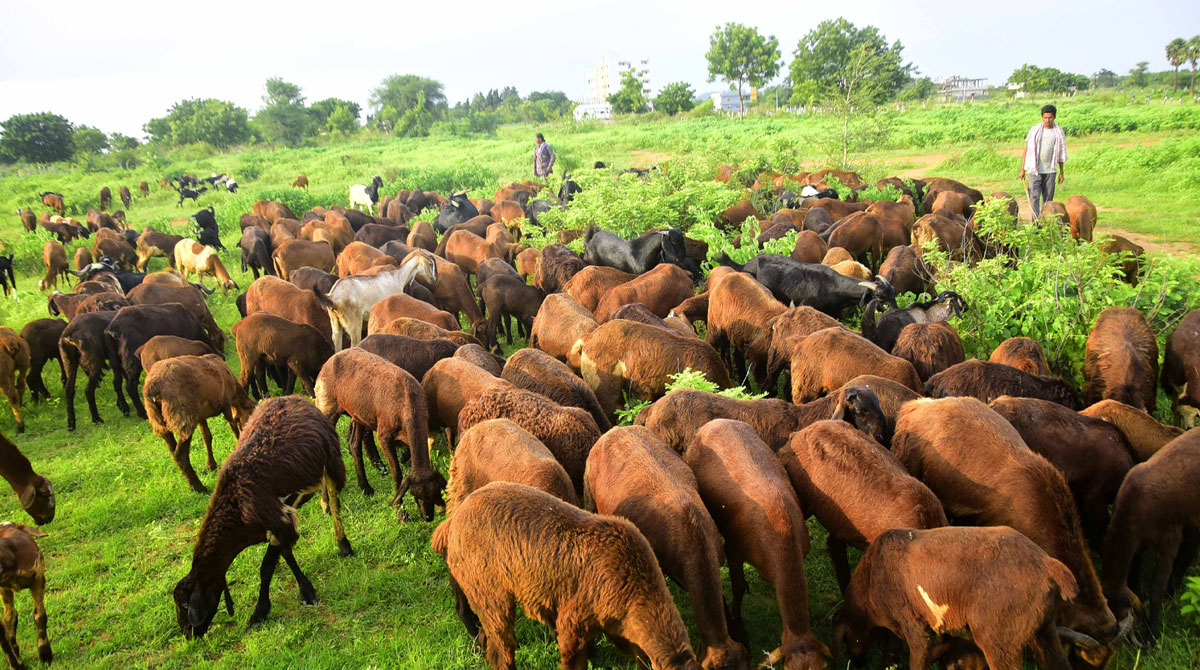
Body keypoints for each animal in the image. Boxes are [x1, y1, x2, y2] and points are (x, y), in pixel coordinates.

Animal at [143, 354, 257, 492]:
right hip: (183, 416)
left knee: (173, 450)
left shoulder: (201, 417)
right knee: (180, 454)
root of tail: (152, 388)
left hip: (159, 421)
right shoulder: (226, 403)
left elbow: (207, 437)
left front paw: (211, 465)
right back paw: (198, 487)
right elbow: (233, 428)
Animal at [172, 396, 353, 639]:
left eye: (185, 605)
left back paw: (344, 543)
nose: (188, 634)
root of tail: (293, 398)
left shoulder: (280, 521)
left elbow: (266, 567)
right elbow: (284, 555)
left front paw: (262, 610)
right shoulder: (279, 524)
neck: (235, 508)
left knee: (333, 498)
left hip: (331, 457)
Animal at [833, 527, 1077, 670]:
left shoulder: (914, 625)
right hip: (1042, 627)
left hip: (1000, 638)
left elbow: (918, 659)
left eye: (847, 640)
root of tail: (1047, 564)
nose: (857, 663)